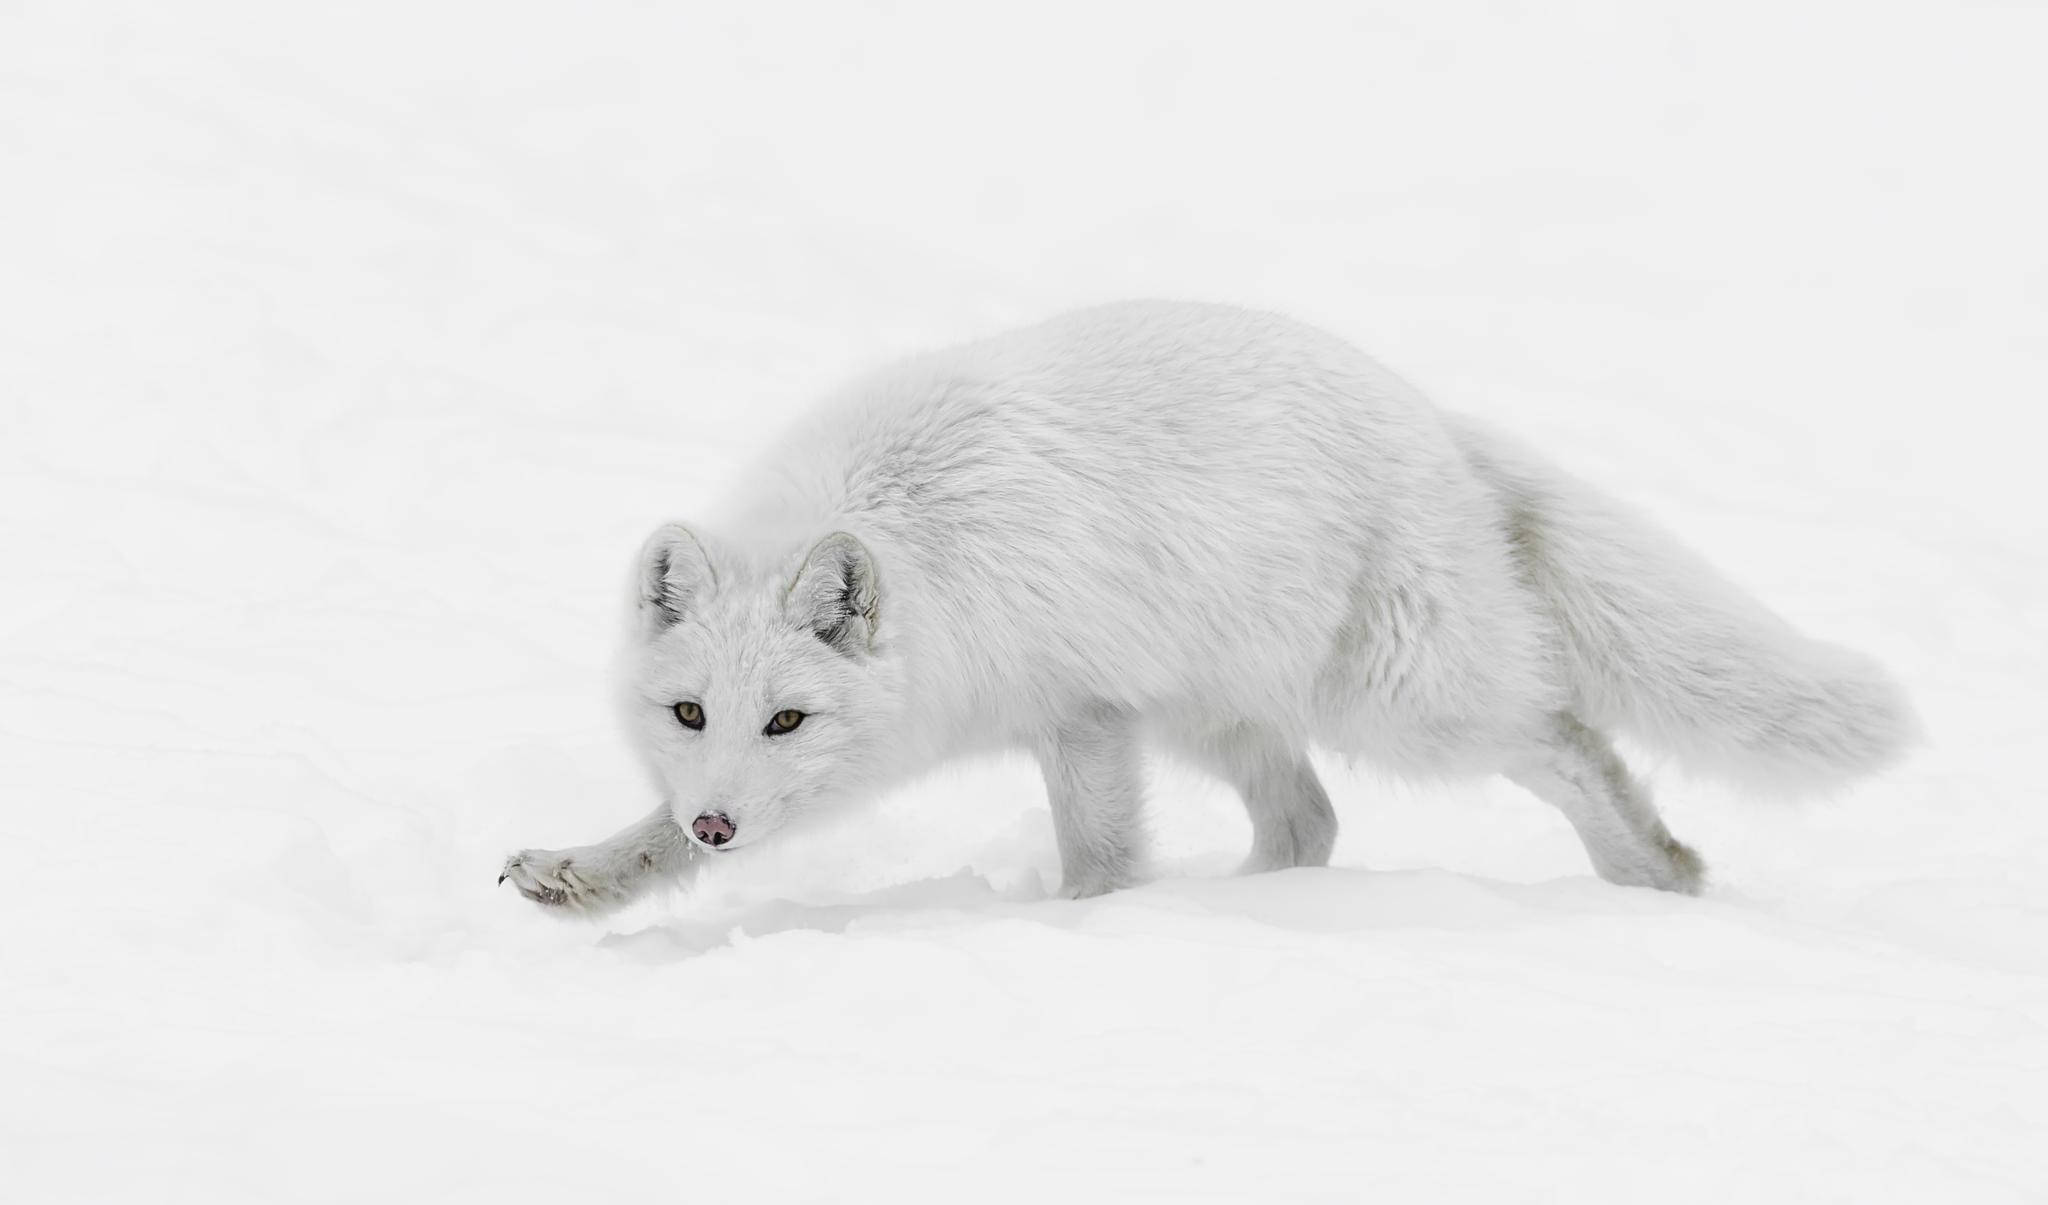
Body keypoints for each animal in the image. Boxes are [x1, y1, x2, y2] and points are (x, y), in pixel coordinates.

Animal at [500, 300, 1916, 915]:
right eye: (690, 712)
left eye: (787, 718)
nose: (723, 820)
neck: (927, 544)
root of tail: (1424, 411)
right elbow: (652, 841)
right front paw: (585, 872)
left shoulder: (1079, 713)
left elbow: (1100, 859)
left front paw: (1089, 924)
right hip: (1218, 714)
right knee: (1310, 821)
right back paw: (1249, 910)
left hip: (1402, 704)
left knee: (1563, 738)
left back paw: (1656, 873)